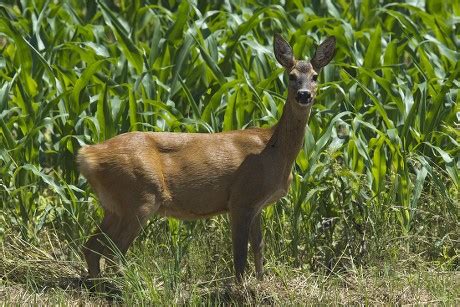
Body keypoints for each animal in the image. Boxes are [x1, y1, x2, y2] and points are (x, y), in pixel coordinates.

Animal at [78, 34, 334, 284]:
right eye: (291, 76)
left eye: (315, 76)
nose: (304, 95)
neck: (273, 150)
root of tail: (88, 154)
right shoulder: (241, 198)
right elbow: (239, 254)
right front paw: (241, 288)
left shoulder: (257, 204)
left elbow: (259, 247)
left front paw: (261, 283)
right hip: (139, 195)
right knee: (113, 252)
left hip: (115, 205)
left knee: (91, 247)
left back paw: (99, 286)